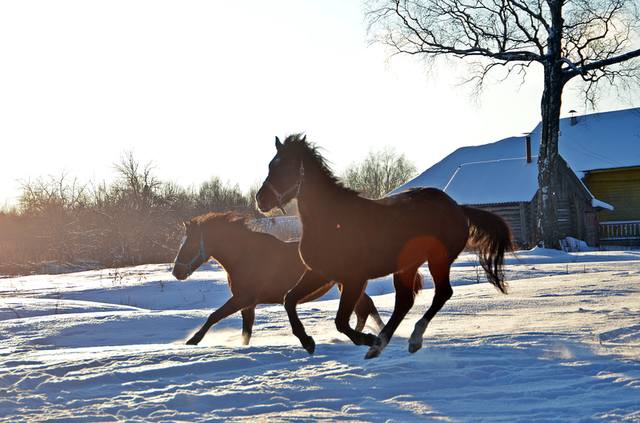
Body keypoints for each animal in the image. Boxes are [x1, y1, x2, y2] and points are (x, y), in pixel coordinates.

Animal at [171, 212, 384, 348]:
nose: (176, 272)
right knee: (365, 308)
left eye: (189, 244)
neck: (245, 257)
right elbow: (246, 333)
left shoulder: (243, 299)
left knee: (364, 308)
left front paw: (193, 340)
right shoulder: (248, 304)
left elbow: (214, 316)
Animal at [255, 134, 510, 360]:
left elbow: (341, 322)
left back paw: (409, 340)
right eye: (270, 165)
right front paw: (308, 342)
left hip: (438, 260)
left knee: (442, 293)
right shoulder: (319, 273)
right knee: (404, 302)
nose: (261, 200)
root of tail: (458, 208)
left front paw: (367, 338)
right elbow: (289, 300)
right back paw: (380, 346)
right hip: (407, 266)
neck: (331, 220)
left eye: (287, 167)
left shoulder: (354, 279)